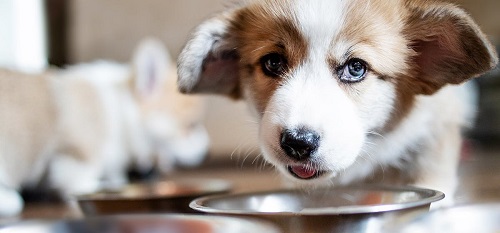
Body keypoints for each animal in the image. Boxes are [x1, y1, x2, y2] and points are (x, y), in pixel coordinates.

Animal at [0, 37, 209, 217]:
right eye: (191, 125)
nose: (206, 151)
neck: (121, 112)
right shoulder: (78, 153)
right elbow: (78, 179)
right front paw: (95, 187)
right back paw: (10, 200)